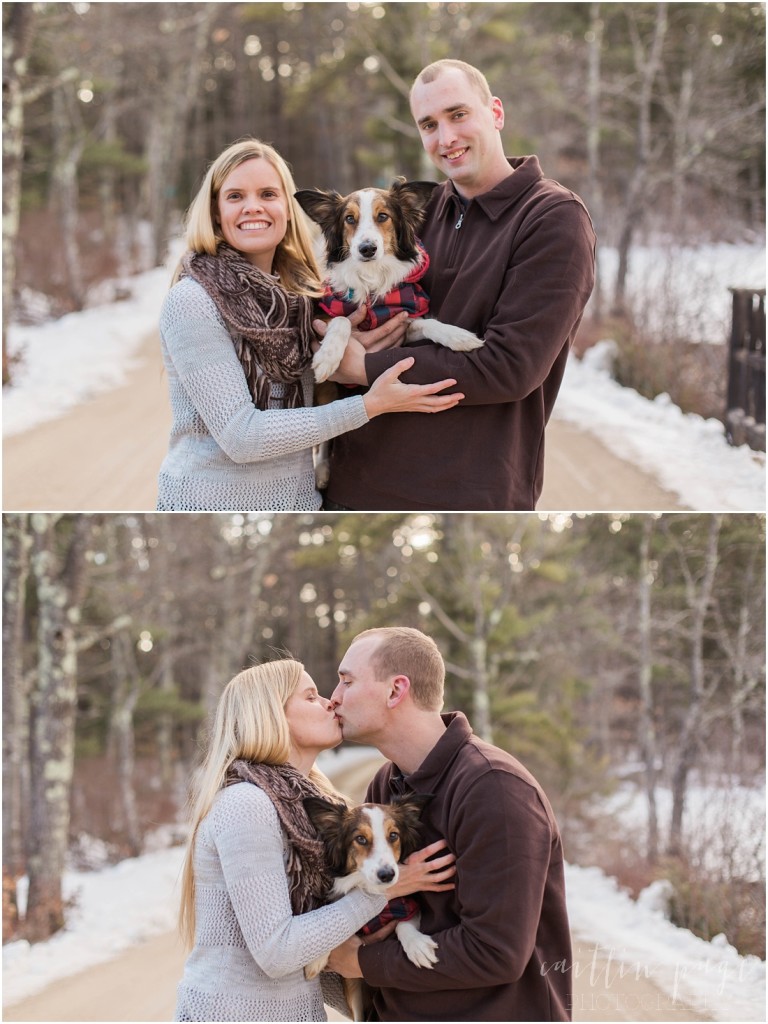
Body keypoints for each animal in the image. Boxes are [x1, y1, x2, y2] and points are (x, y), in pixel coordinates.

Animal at [305, 790, 442, 1015]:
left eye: (393, 835)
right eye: (360, 839)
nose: (387, 875)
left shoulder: (408, 904)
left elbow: (403, 924)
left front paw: (417, 945)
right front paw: (316, 957)